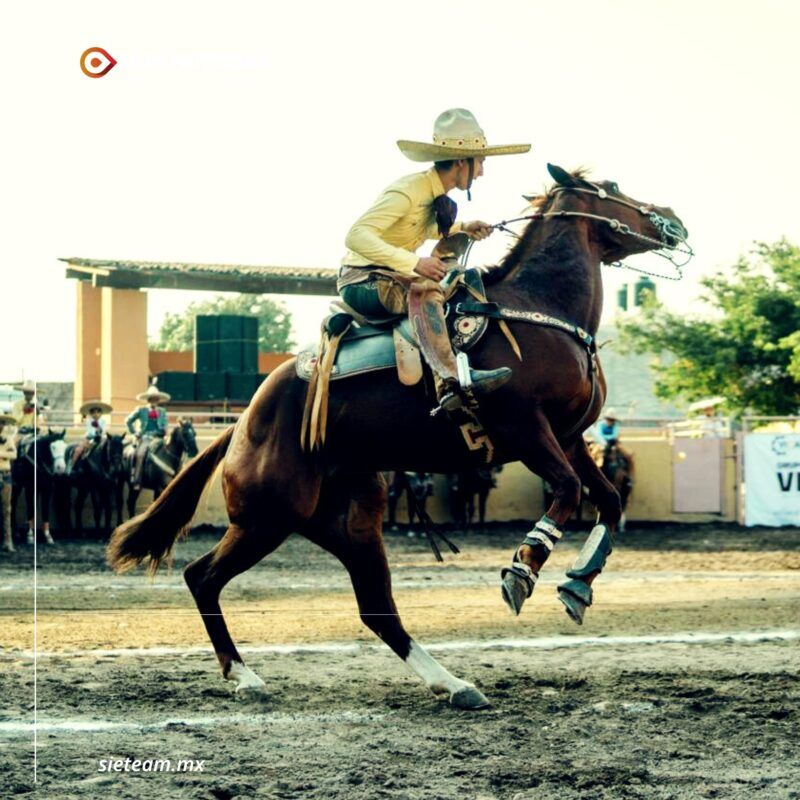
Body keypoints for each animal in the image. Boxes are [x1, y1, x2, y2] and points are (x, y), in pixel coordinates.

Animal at [109, 162, 692, 708]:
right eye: (612, 187)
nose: (675, 221)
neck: (537, 309)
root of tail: (243, 424)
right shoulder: (525, 428)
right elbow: (570, 492)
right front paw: (522, 571)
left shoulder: (569, 437)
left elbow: (608, 501)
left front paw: (576, 585)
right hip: (267, 517)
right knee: (202, 577)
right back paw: (245, 676)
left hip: (349, 521)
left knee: (377, 609)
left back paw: (453, 684)